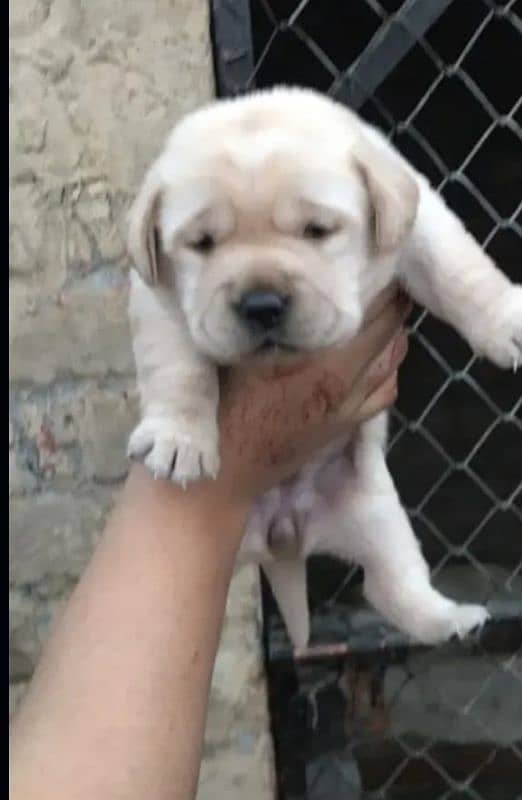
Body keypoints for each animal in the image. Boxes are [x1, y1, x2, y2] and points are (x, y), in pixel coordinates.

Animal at [124, 87, 516, 648]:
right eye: (201, 243)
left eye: (318, 230)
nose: (261, 303)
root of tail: (284, 534)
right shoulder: (157, 293)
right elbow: (177, 366)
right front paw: (178, 438)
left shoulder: (417, 226)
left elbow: (458, 268)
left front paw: (508, 320)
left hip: (379, 516)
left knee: (393, 586)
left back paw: (453, 620)